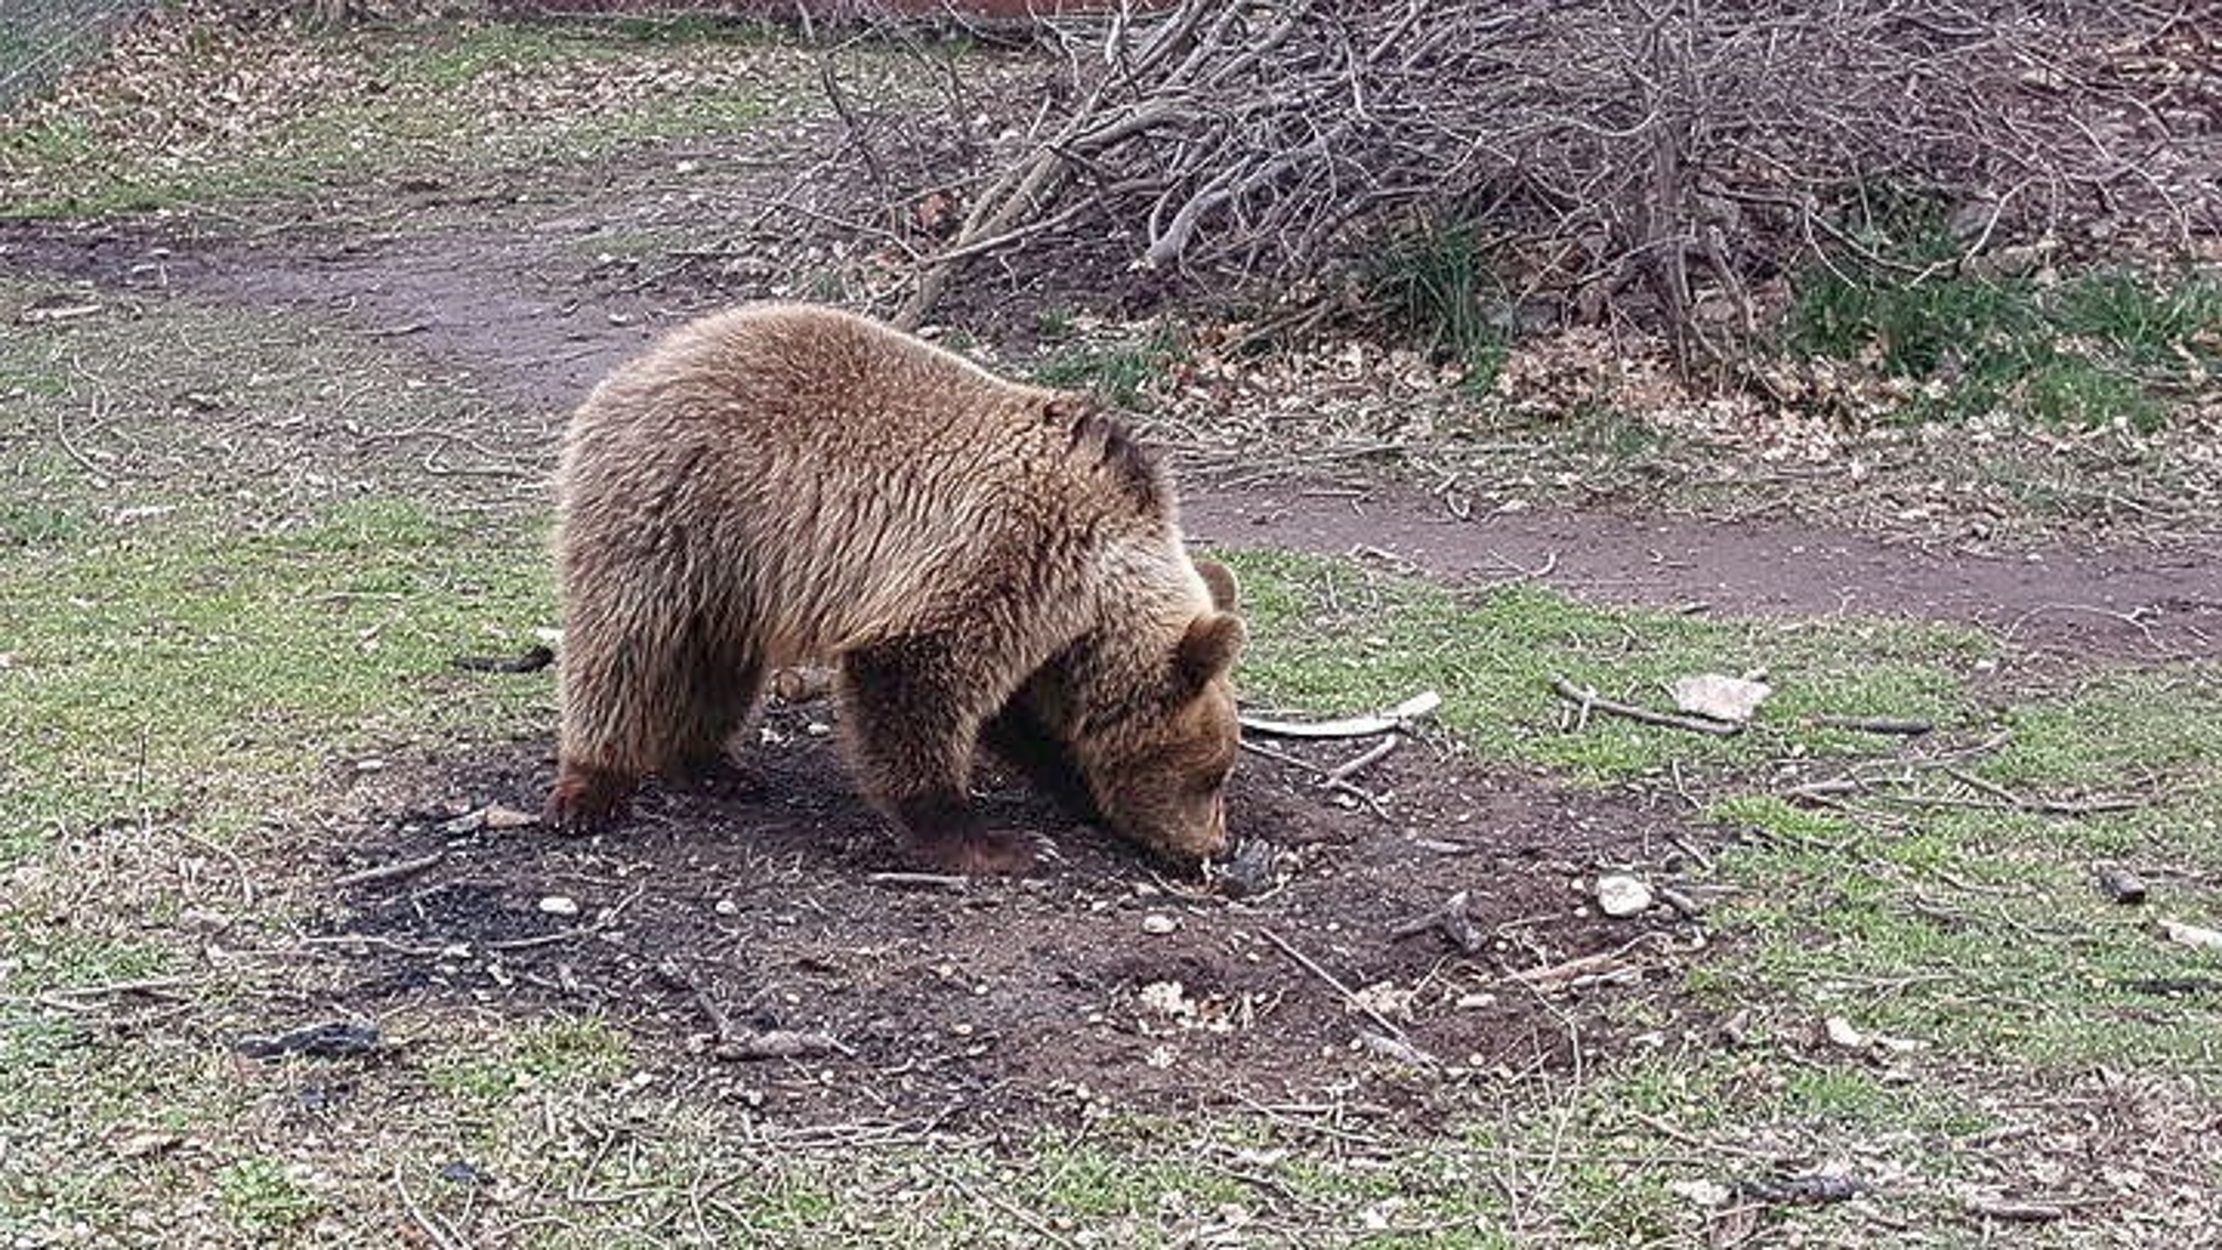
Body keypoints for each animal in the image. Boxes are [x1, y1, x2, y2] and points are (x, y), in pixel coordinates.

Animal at [533, 299, 1235, 879]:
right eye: (1210, 774)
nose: (1212, 849)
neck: (1096, 585)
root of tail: (637, 367)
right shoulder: (1007, 550)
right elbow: (914, 678)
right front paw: (997, 842)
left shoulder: (1040, 622)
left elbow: (1018, 715)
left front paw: (1074, 787)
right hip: (672, 510)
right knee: (624, 647)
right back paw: (591, 789)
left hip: (736, 572)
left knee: (714, 662)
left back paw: (715, 766)